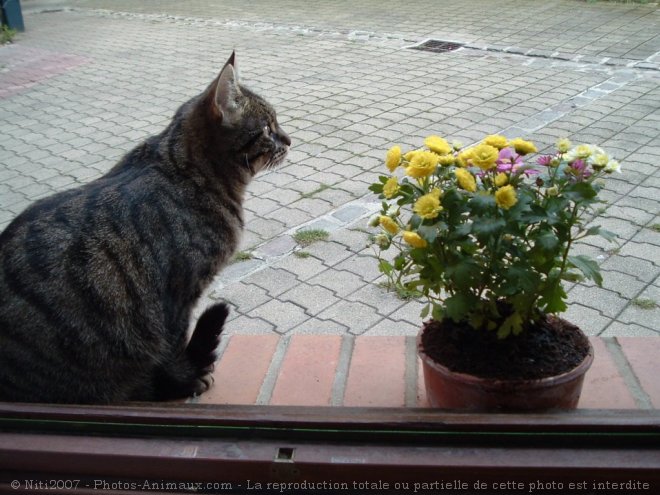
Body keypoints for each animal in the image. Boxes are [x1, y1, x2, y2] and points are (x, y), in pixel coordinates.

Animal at [0, 52, 288, 404]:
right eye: (267, 128)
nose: (289, 140)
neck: (186, 171)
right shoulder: (178, 297)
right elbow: (174, 349)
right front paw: (184, 382)